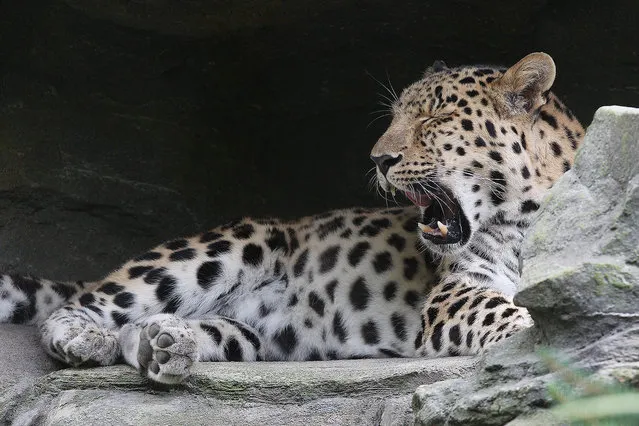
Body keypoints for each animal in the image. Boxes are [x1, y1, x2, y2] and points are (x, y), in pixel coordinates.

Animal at [0, 53, 584, 386]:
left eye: (435, 118)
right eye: (395, 116)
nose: (379, 158)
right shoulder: (454, 293)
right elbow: (500, 310)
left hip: (250, 337)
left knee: (155, 333)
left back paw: (166, 343)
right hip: (231, 244)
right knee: (83, 305)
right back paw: (87, 340)